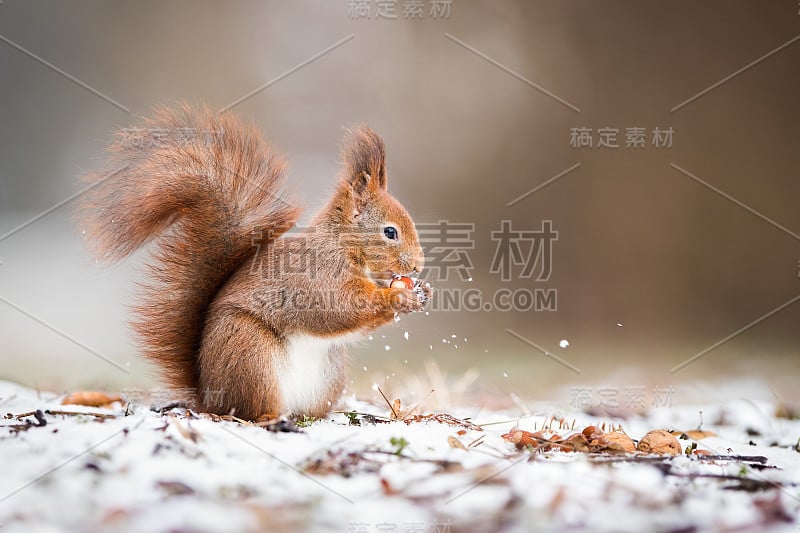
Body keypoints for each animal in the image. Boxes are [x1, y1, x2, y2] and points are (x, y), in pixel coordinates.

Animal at [81, 105, 432, 420]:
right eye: (390, 232)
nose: (418, 266)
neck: (343, 247)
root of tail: (209, 397)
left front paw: (422, 292)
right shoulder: (318, 275)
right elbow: (342, 307)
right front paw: (398, 296)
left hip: (328, 375)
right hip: (251, 355)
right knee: (249, 409)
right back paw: (269, 418)